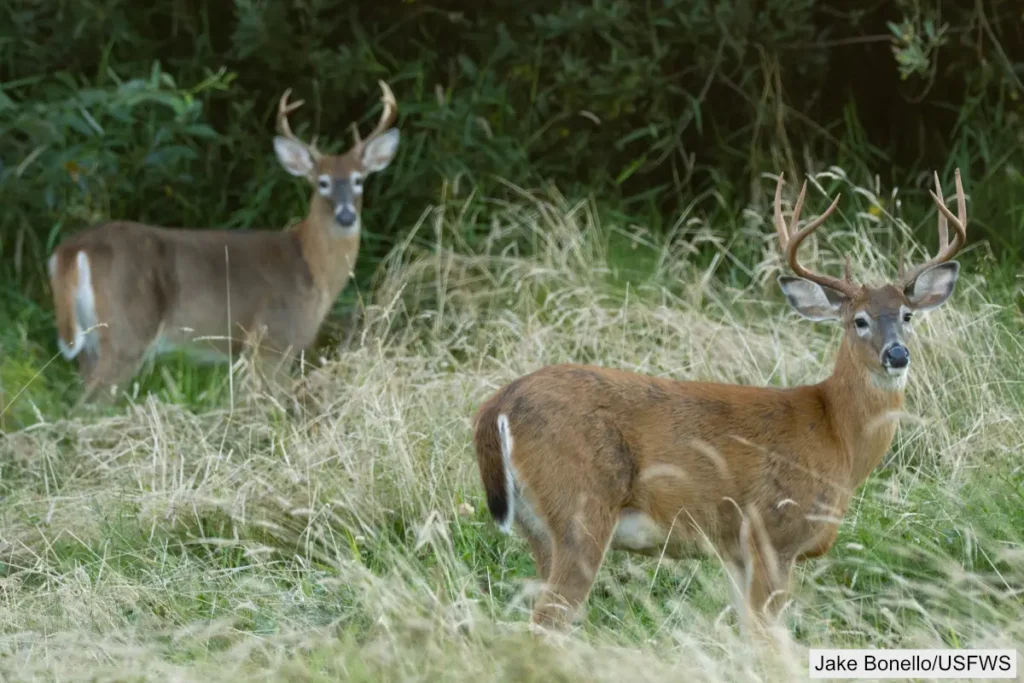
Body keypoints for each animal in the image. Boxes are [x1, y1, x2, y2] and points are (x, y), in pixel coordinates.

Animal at [47, 81, 400, 403]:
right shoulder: (275, 337)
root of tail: (72, 250)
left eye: (358, 180)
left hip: (91, 341)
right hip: (127, 328)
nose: (346, 216)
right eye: (322, 182)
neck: (311, 264)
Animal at [472, 169, 967, 634]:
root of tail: (497, 405)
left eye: (907, 315)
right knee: (545, 622)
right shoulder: (772, 531)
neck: (835, 433)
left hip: (539, 528)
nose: (897, 354)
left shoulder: (734, 551)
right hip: (580, 510)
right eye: (859, 321)